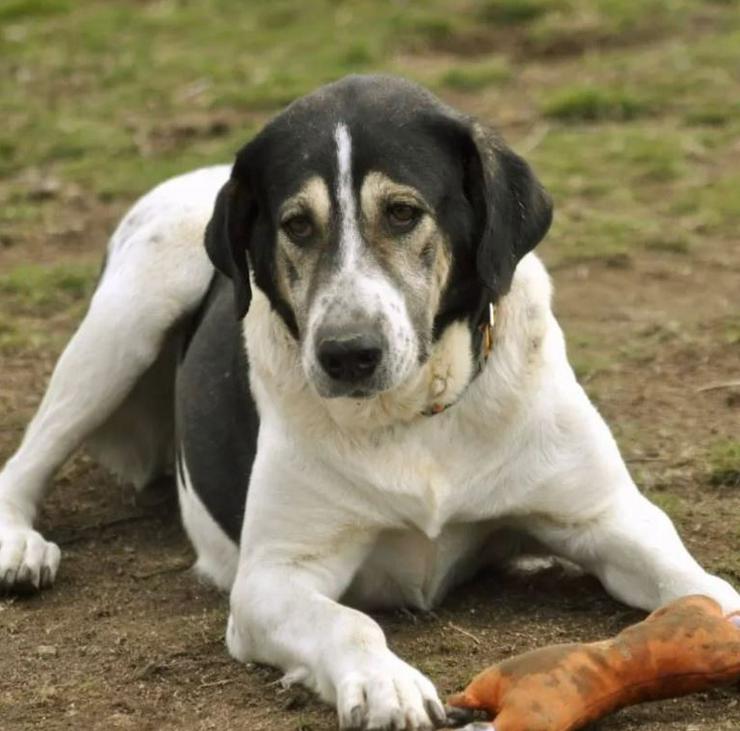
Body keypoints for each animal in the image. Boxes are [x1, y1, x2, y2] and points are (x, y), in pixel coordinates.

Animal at [1, 76, 740, 731]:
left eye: (403, 212)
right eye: (296, 225)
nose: (347, 353)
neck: (413, 412)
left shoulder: (608, 516)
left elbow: (692, 579)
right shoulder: (272, 579)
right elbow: (348, 622)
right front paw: (387, 682)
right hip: (130, 314)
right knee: (28, 458)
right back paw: (19, 546)